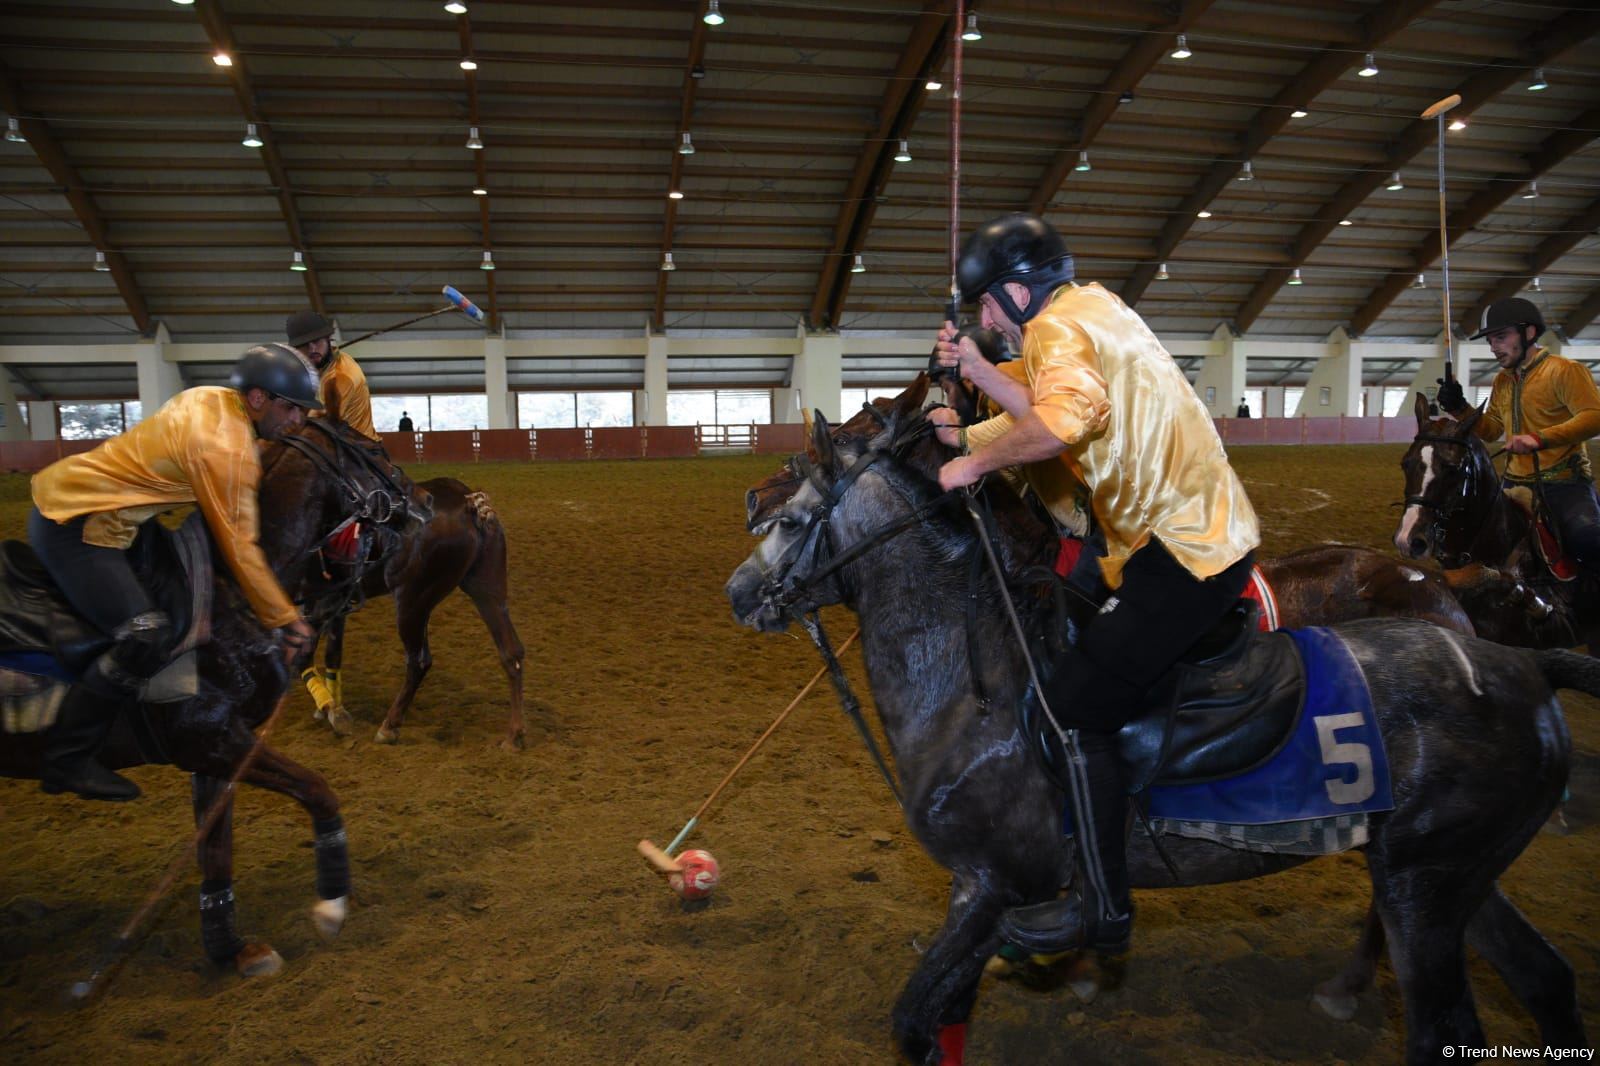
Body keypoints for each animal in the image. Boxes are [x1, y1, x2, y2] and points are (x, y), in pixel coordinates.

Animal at [0, 412, 419, 973]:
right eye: (374, 451)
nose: (421, 503)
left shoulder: (215, 753)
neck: (230, 590)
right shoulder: (208, 737)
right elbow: (316, 789)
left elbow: (215, 848)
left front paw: (231, 947)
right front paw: (331, 902)